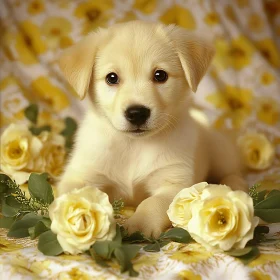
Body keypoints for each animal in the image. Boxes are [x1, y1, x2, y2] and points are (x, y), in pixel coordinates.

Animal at [58, 20, 246, 237]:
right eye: (111, 78)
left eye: (160, 75)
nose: (137, 113)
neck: (133, 146)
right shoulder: (80, 174)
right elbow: (74, 197)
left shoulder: (175, 184)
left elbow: (151, 203)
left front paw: (139, 224)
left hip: (221, 154)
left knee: (234, 171)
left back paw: (234, 186)